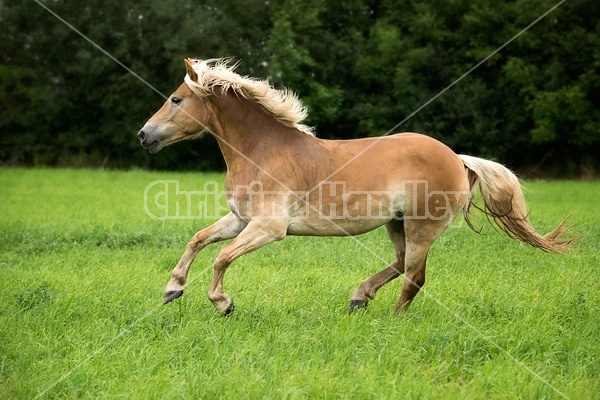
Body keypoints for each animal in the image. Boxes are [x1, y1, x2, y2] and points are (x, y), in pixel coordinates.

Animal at [137, 59, 576, 316]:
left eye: (175, 99)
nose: (143, 135)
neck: (261, 150)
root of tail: (458, 158)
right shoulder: (241, 219)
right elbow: (198, 240)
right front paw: (172, 290)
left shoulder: (269, 228)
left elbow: (221, 258)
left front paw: (223, 303)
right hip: (396, 224)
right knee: (401, 265)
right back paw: (359, 298)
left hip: (420, 226)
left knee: (415, 276)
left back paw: (393, 320)